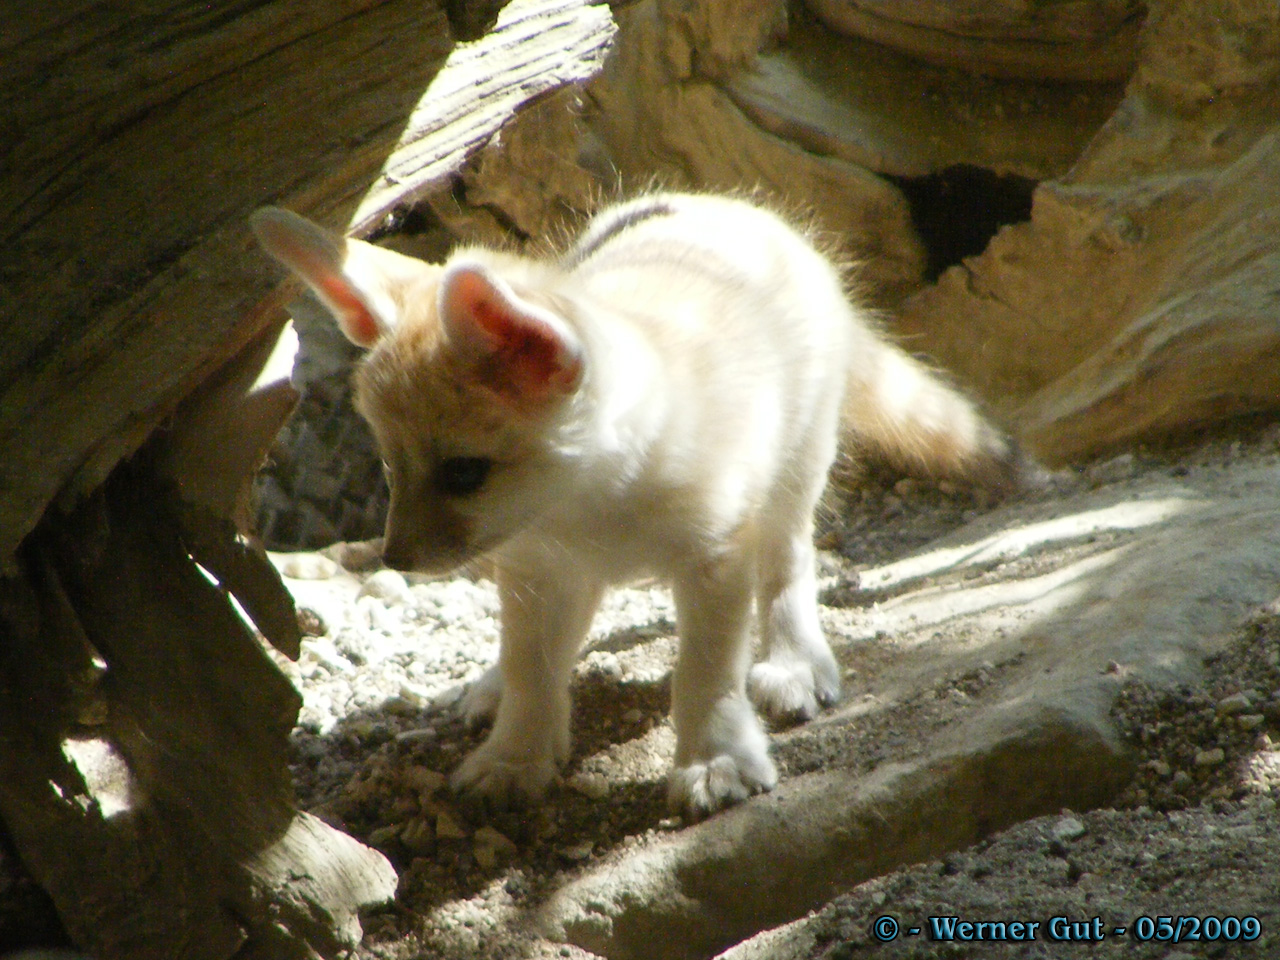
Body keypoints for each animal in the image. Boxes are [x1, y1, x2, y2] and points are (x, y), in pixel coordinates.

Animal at [251, 192, 1016, 819]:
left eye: (464, 473)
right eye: (390, 465)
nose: (397, 557)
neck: (589, 506)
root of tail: (727, 205)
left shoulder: (714, 559)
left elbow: (704, 672)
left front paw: (716, 758)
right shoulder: (535, 565)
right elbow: (531, 667)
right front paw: (516, 754)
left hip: (793, 474)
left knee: (789, 564)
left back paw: (797, 659)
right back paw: (493, 687)